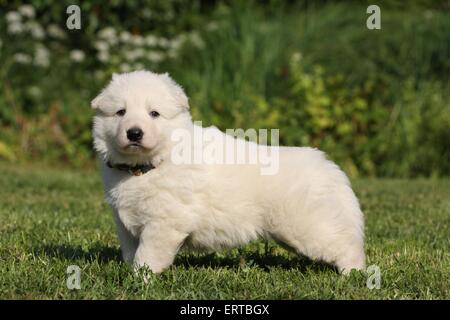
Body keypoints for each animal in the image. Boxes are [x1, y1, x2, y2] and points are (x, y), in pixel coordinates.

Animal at [92, 70, 366, 276]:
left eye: (154, 114)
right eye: (120, 112)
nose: (134, 133)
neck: (147, 166)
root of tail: (328, 166)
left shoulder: (164, 222)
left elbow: (147, 254)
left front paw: (141, 279)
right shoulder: (125, 224)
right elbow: (130, 251)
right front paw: (130, 273)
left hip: (308, 226)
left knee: (346, 245)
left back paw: (354, 274)